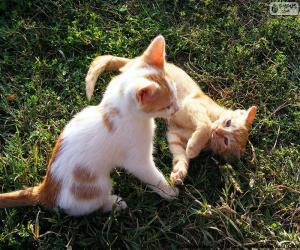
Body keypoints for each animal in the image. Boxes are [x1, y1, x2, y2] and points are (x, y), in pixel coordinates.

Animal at [0, 34, 178, 216]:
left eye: (175, 93)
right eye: (166, 106)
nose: (177, 109)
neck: (118, 110)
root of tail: (45, 191)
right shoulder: (137, 158)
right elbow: (151, 175)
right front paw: (169, 191)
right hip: (96, 186)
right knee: (97, 204)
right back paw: (114, 203)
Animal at [85, 51, 258, 185]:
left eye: (226, 141)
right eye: (228, 123)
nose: (217, 131)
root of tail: (135, 60)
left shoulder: (174, 135)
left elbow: (181, 156)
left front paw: (179, 172)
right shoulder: (192, 106)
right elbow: (205, 125)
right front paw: (194, 147)